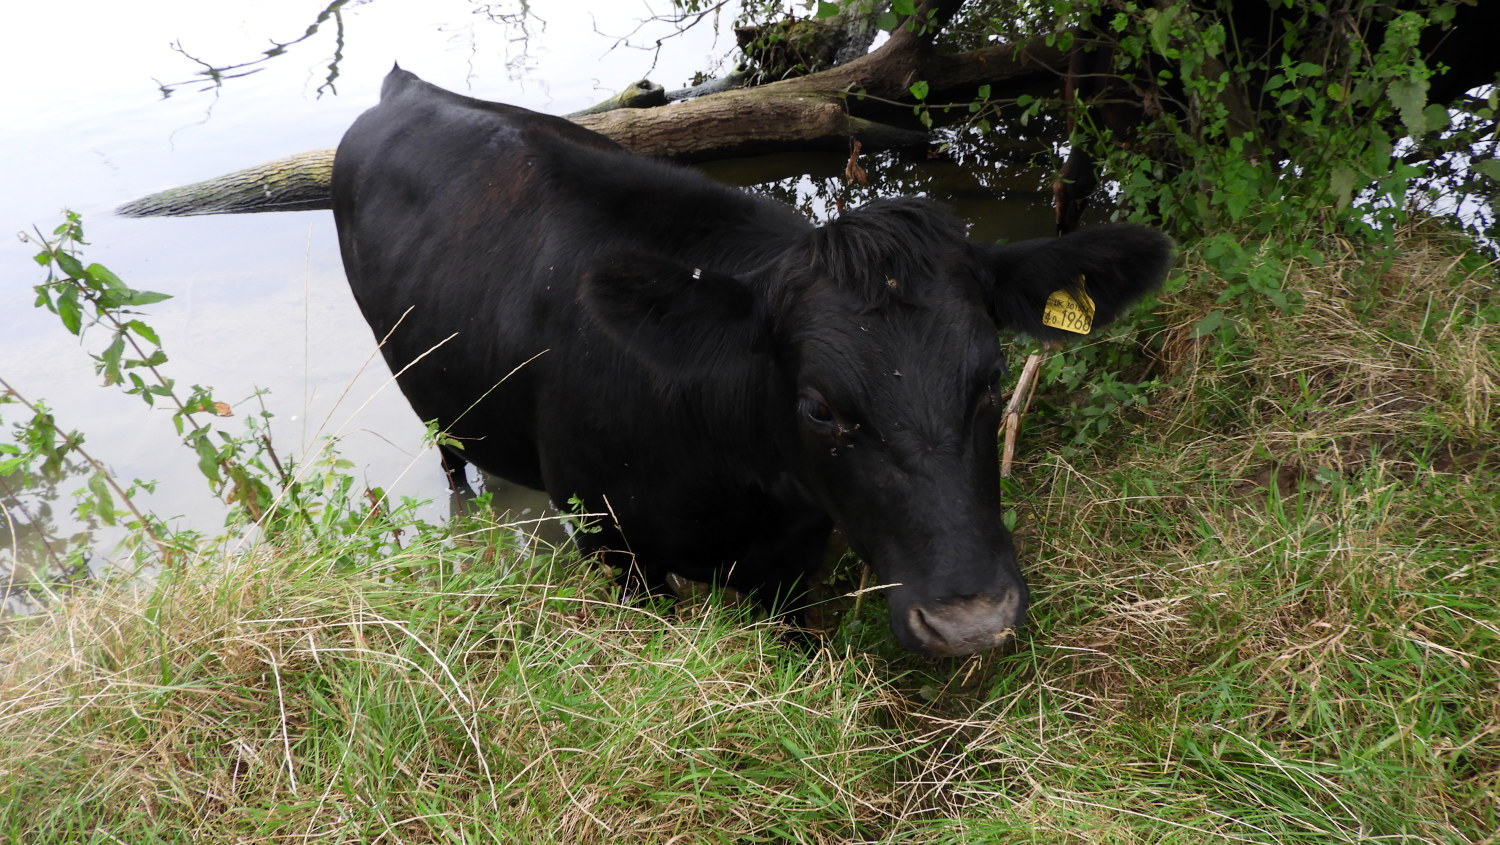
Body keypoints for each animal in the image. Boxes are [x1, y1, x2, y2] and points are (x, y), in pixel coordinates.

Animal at [331, 69, 1170, 657]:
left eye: (993, 377)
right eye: (819, 408)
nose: (971, 622)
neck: (732, 480)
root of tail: (405, 87)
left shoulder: (795, 552)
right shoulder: (613, 545)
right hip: (424, 391)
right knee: (452, 460)